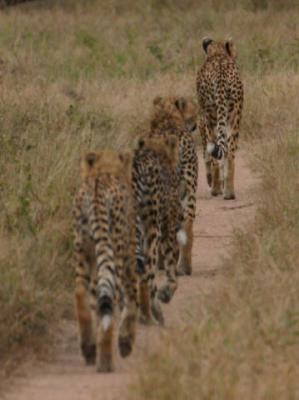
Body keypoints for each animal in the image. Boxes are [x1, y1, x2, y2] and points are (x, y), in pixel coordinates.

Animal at [72, 149, 138, 372]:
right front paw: (126, 342)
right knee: (112, 298)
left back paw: (89, 348)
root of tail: (96, 185)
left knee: (81, 292)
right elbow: (132, 300)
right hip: (114, 254)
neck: (104, 169)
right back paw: (106, 360)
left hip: (83, 249)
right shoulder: (129, 259)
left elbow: (95, 299)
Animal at [133, 134, 183, 324]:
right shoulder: (169, 228)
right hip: (152, 230)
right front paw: (166, 294)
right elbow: (172, 268)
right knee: (147, 270)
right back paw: (152, 312)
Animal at [197, 37, 244, 200]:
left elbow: (207, 155)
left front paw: (212, 181)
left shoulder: (202, 120)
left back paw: (216, 189)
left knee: (214, 154)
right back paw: (229, 192)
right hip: (235, 117)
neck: (218, 53)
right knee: (230, 153)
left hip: (212, 118)